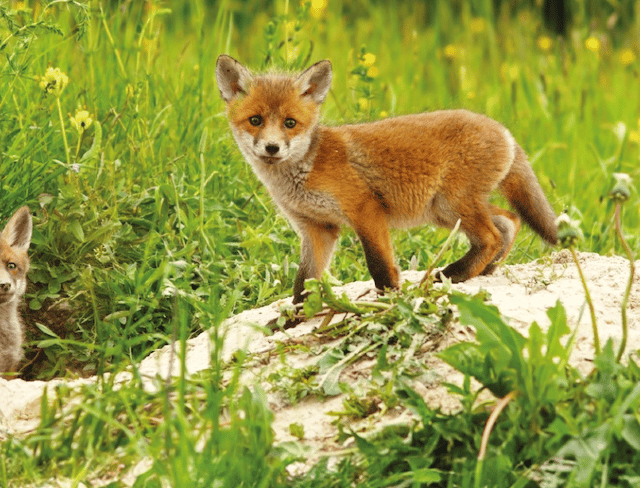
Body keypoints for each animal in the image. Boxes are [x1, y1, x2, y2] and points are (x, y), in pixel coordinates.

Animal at [215, 55, 557, 306]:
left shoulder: (365, 210)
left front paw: (390, 299)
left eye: (290, 123)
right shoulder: (317, 228)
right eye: (255, 120)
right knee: (509, 221)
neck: (306, 170)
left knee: (491, 236)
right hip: (445, 211)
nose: (272, 148)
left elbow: (379, 266)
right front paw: (294, 319)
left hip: (451, 204)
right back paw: (484, 270)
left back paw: (453, 274)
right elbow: (305, 282)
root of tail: (503, 129)